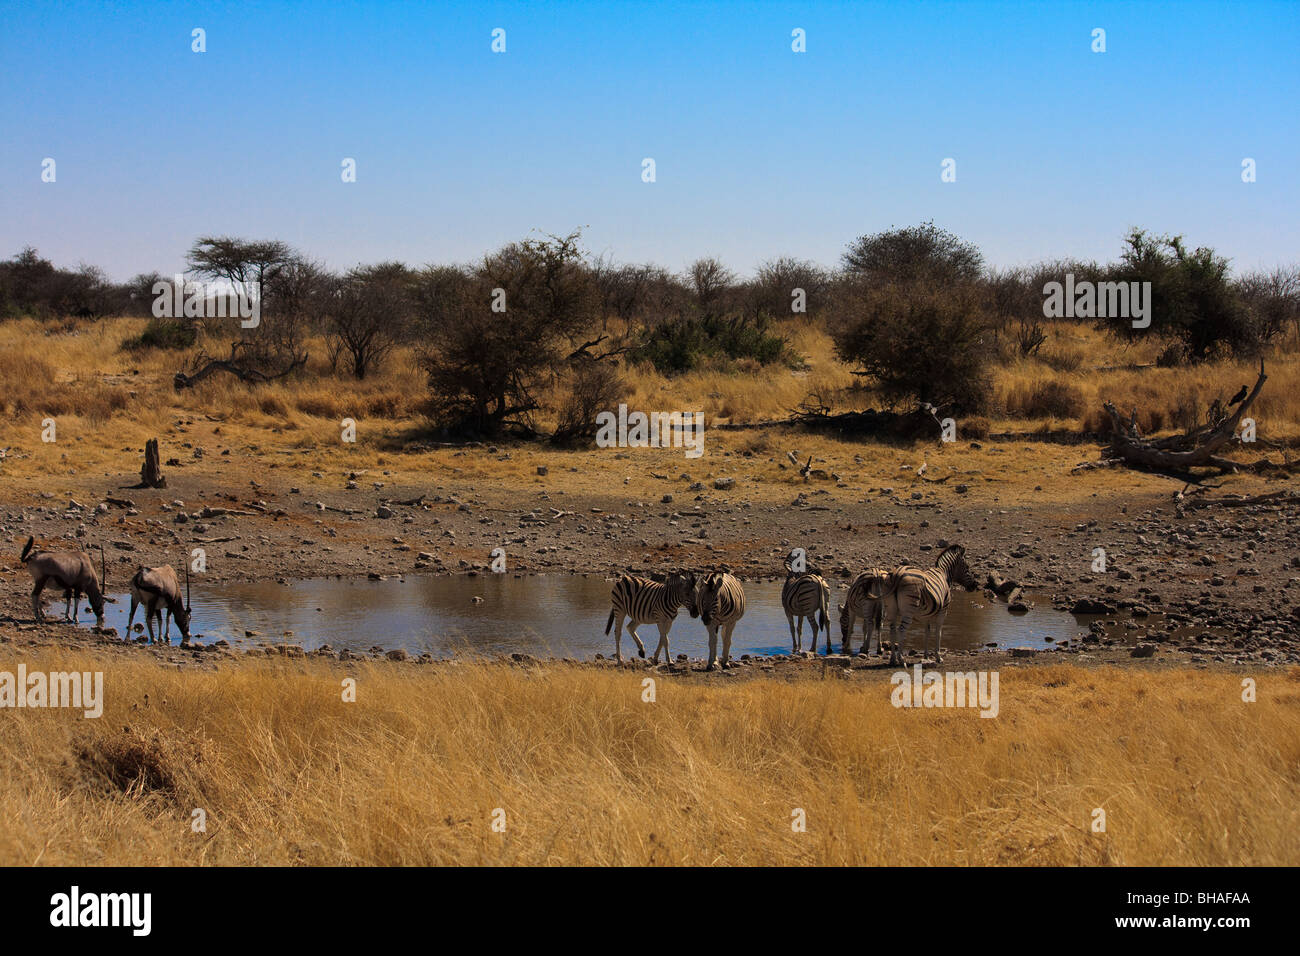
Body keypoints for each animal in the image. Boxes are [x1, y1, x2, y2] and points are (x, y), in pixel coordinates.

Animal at [883, 541, 977, 671]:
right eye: (967, 567)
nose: (974, 586)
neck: (944, 574)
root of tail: (898, 573)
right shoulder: (943, 611)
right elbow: (938, 632)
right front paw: (938, 657)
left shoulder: (926, 615)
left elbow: (926, 633)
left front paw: (926, 656)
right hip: (908, 610)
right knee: (901, 630)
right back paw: (902, 660)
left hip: (892, 609)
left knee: (892, 631)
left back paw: (892, 659)